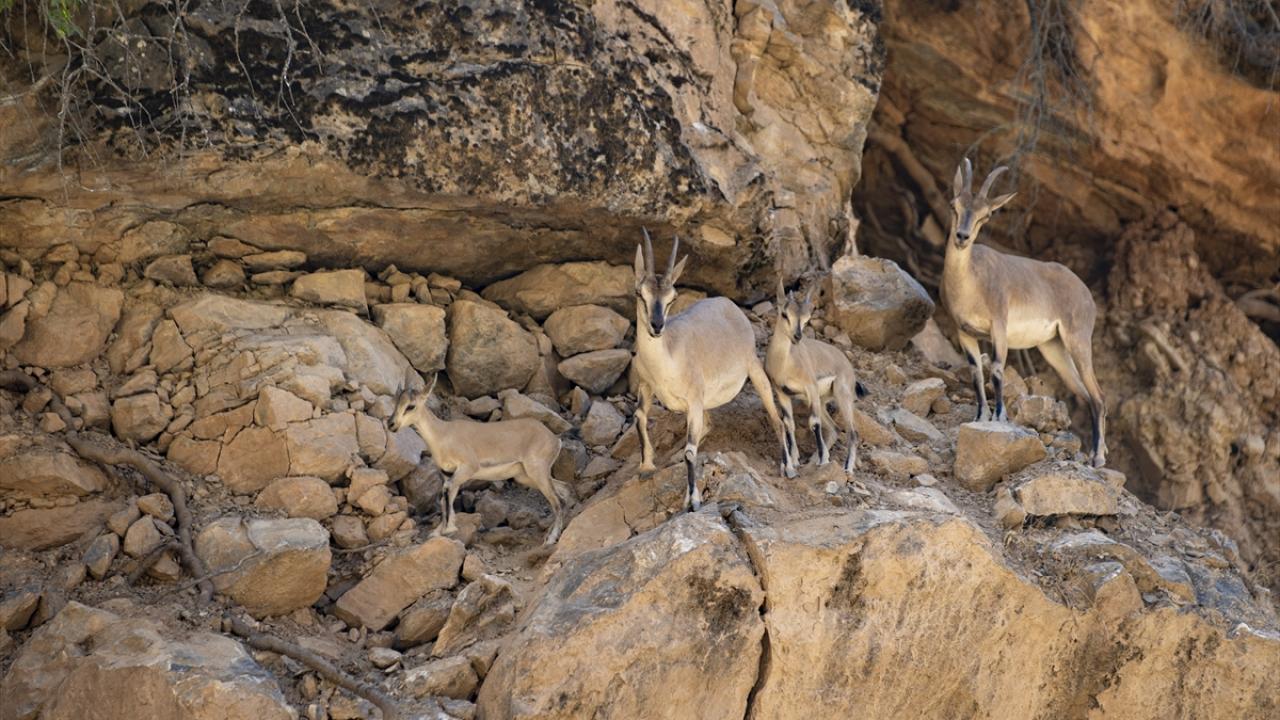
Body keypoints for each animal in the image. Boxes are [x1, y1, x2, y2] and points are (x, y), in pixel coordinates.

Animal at [390, 373, 570, 544]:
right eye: (396, 402)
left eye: (411, 406)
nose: (391, 424)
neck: (443, 434)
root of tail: (554, 439)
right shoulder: (449, 474)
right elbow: (446, 496)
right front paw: (438, 531)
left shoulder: (468, 468)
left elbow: (446, 492)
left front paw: (448, 529)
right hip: (526, 476)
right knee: (563, 492)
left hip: (537, 473)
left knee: (556, 501)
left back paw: (551, 539)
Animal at [631, 229, 790, 510]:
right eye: (640, 293)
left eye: (672, 298)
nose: (657, 326)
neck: (668, 357)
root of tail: (729, 305)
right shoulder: (646, 385)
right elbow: (639, 416)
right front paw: (647, 466)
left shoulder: (694, 399)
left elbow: (690, 451)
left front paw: (692, 501)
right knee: (708, 425)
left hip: (754, 370)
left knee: (777, 419)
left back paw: (788, 467)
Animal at [765, 281, 865, 474]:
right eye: (784, 314)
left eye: (806, 318)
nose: (797, 336)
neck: (784, 364)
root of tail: (846, 364)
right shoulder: (782, 393)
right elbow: (789, 423)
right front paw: (793, 462)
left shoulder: (810, 388)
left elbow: (814, 423)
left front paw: (822, 460)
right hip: (821, 400)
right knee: (834, 429)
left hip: (841, 396)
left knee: (852, 432)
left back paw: (847, 468)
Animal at [941, 158, 1108, 467]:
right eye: (953, 204)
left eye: (986, 215)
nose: (962, 237)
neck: (971, 282)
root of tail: (1086, 295)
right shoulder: (964, 332)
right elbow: (975, 371)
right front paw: (980, 416)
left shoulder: (999, 326)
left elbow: (996, 369)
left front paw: (1000, 417)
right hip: (1053, 348)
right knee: (1085, 396)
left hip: (1077, 339)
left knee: (1099, 396)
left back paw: (1098, 457)